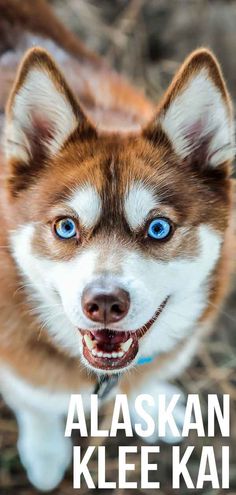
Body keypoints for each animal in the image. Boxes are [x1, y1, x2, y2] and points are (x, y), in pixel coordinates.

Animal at [0, 0, 234, 490]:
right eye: (66, 227)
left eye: (159, 228)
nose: (104, 303)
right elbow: (32, 400)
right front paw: (45, 450)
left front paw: (151, 404)